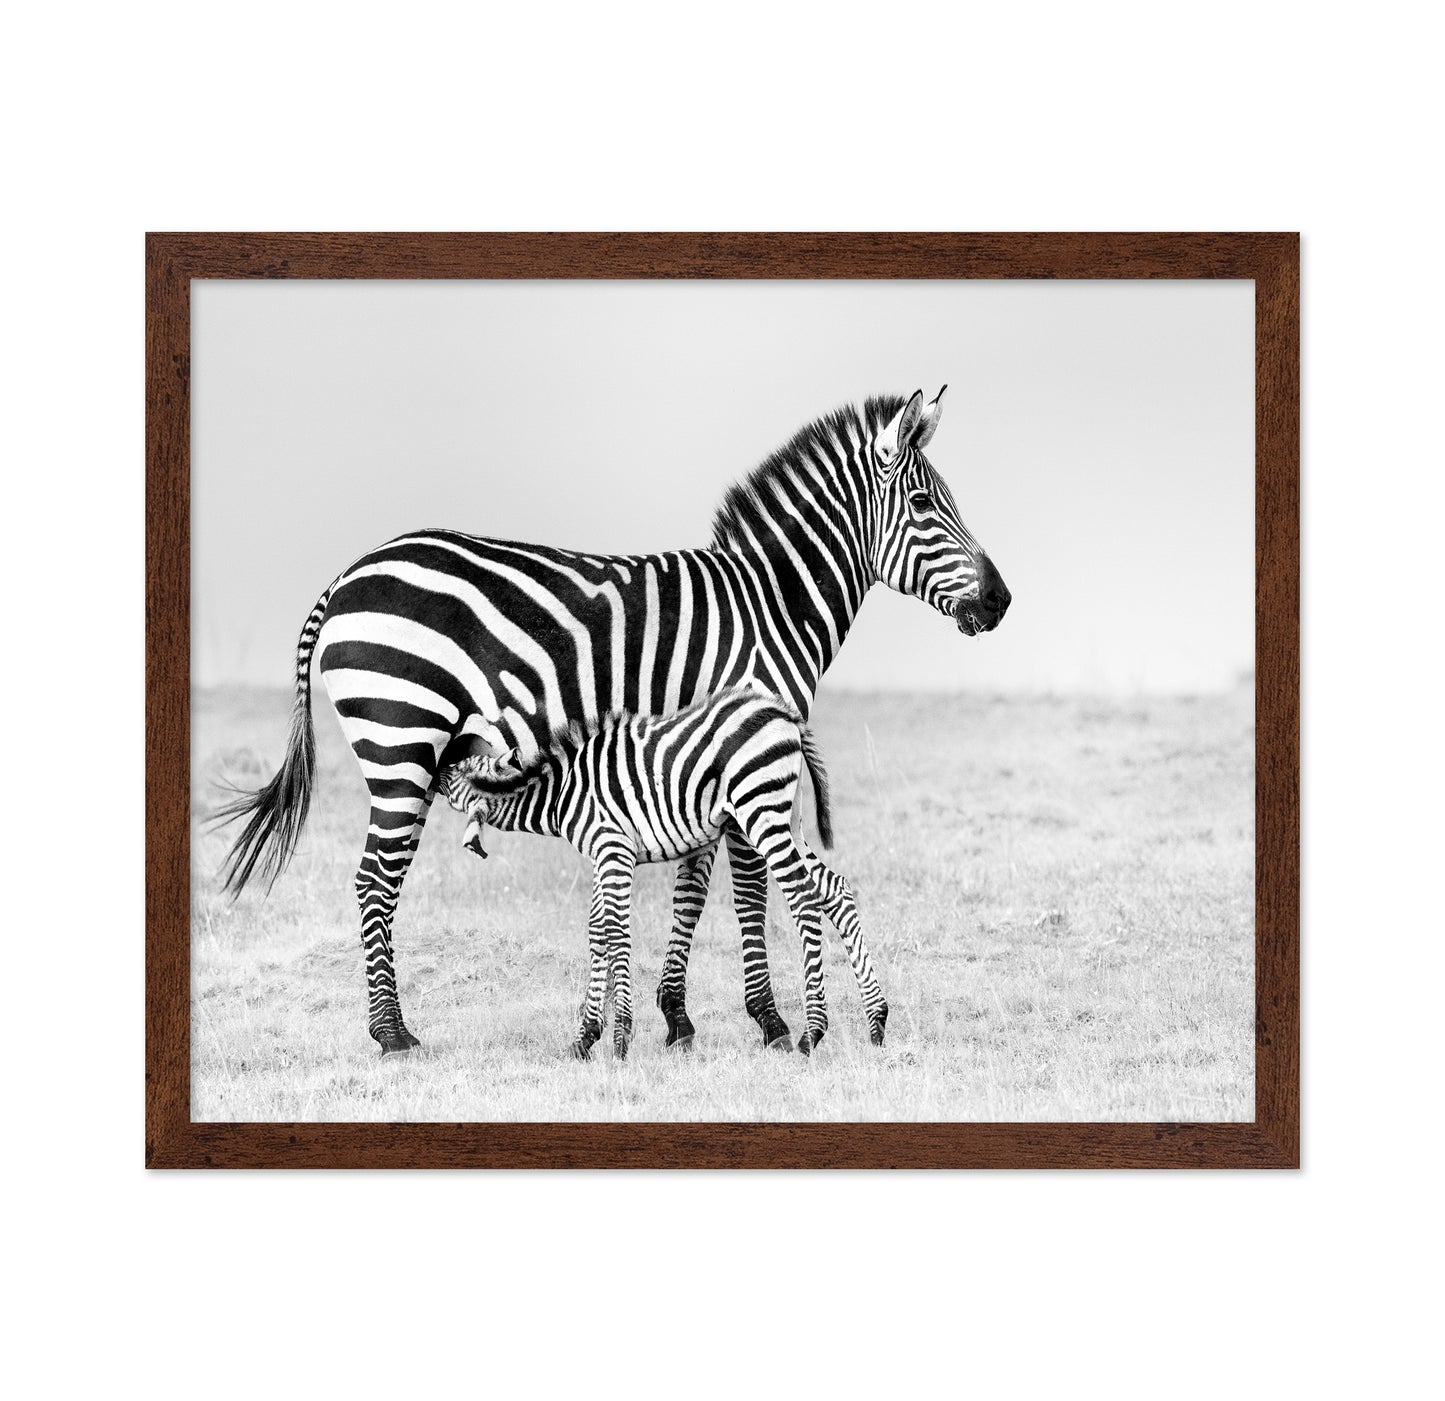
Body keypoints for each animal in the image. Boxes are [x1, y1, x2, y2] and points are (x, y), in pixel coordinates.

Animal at [439, 690, 886, 1058]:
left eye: (455, 769)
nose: (438, 757)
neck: (564, 793)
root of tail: (783, 712)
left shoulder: (613, 849)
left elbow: (615, 933)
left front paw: (620, 1040)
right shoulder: (605, 855)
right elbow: (597, 930)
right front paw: (584, 1038)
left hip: (761, 812)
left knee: (803, 896)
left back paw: (813, 1032)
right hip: (787, 817)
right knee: (834, 890)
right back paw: (877, 1022)